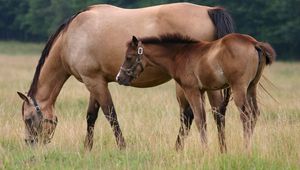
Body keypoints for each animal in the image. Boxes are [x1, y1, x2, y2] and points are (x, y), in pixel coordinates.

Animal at [16, 2, 234, 151]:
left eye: (28, 119)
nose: (30, 144)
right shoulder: (95, 81)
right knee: (217, 112)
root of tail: (209, 10)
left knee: (190, 116)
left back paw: (179, 149)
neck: (71, 37)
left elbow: (110, 115)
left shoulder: (93, 81)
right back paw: (221, 149)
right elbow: (91, 116)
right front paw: (87, 148)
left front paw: (122, 147)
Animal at [116, 33, 276, 151]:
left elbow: (199, 120)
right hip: (251, 87)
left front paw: (205, 150)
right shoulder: (202, 90)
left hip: (239, 88)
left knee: (246, 115)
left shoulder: (191, 90)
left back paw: (245, 149)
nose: (119, 78)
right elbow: (204, 119)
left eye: (128, 57)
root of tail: (254, 43)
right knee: (254, 113)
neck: (180, 55)